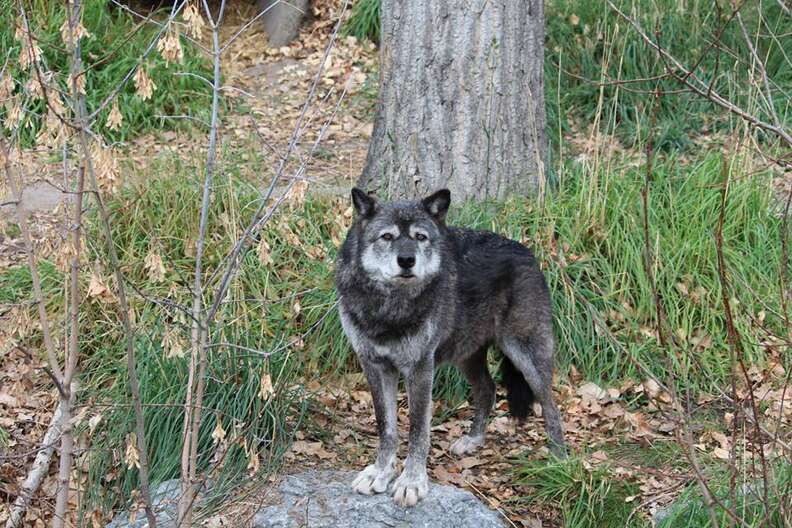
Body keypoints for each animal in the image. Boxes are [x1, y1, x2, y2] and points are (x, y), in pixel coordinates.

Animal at [334, 189, 564, 508]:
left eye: (420, 237)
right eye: (387, 236)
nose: (407, 260)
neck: (390, 309)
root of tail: (526, 251)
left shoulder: (420, 368)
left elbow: (418, 430)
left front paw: (411, 482)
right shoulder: (375, 367)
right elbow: (387, 428)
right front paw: (380, 472)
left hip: (526, 357)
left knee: (551, 407)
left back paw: (559, 460)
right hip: (467, 355)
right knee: (488, 390)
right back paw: (473, 440)